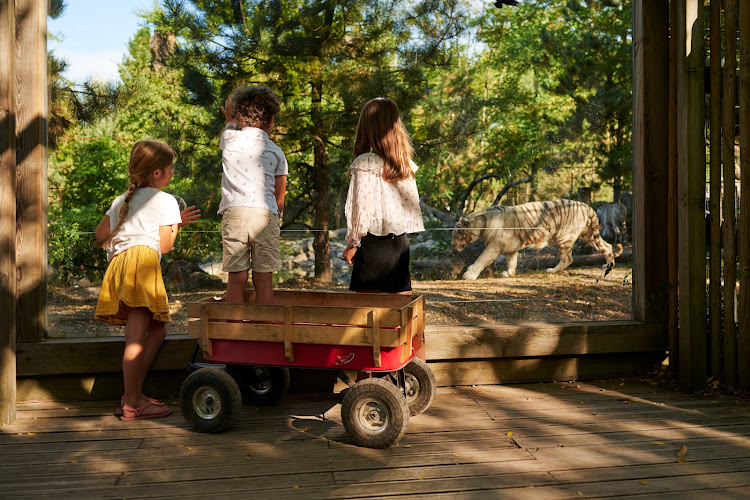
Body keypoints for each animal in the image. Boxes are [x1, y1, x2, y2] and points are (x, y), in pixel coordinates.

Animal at [456, 198, 624, 280]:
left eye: (457, 234)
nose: (453, 245)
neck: (481, 222)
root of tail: (587, 206)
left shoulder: (494, 247)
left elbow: (482, 259)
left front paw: (469, 275)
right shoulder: (510, 247)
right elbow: (511, 261)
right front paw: (509, 274)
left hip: (565, 236)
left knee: (568, 258)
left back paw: (552, 270)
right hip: (588, 234)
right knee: (607, 246)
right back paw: (608, 265)